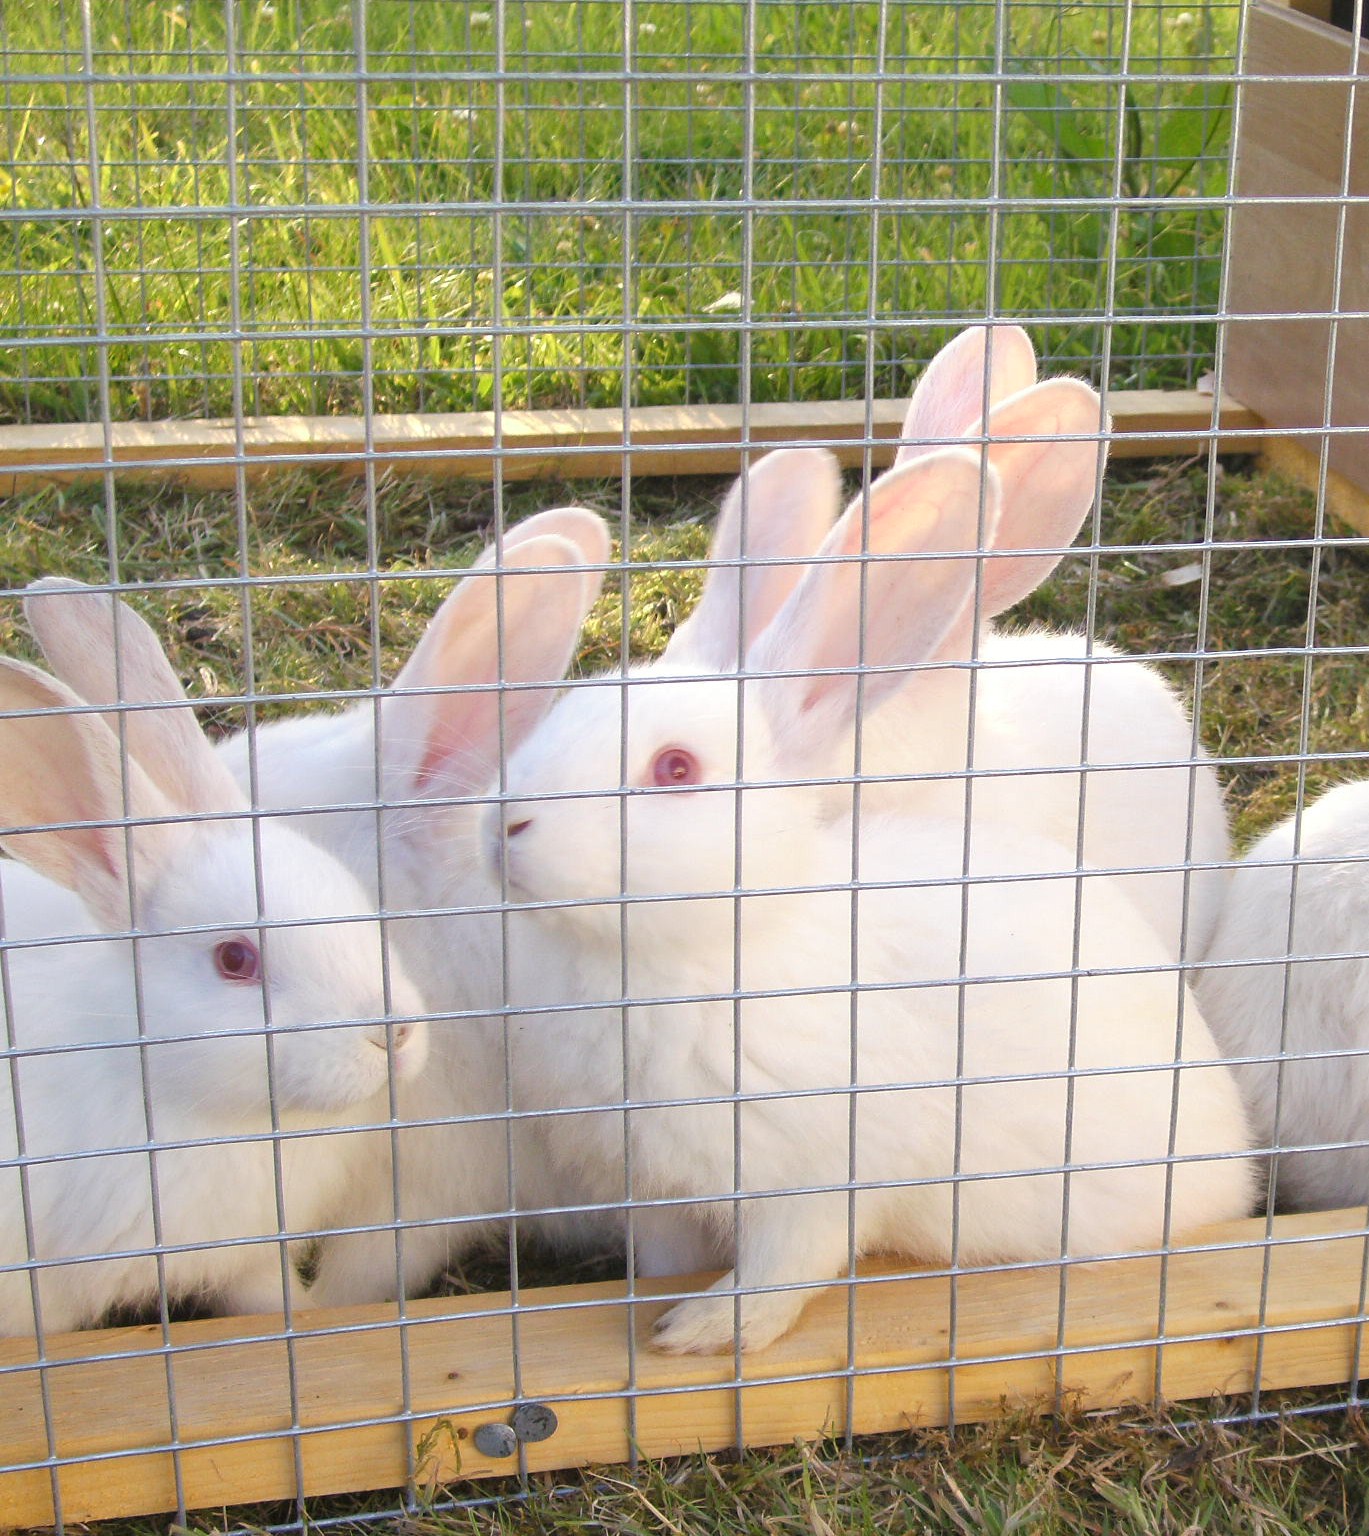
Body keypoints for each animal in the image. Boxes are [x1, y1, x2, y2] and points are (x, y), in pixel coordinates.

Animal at [486, 443, 1256, 1355]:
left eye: (675, 768)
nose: (505, 824)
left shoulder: (816, 1183)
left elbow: (785, 1271)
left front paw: (700, 1331)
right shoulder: (656, 1191)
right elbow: (671, 1254)